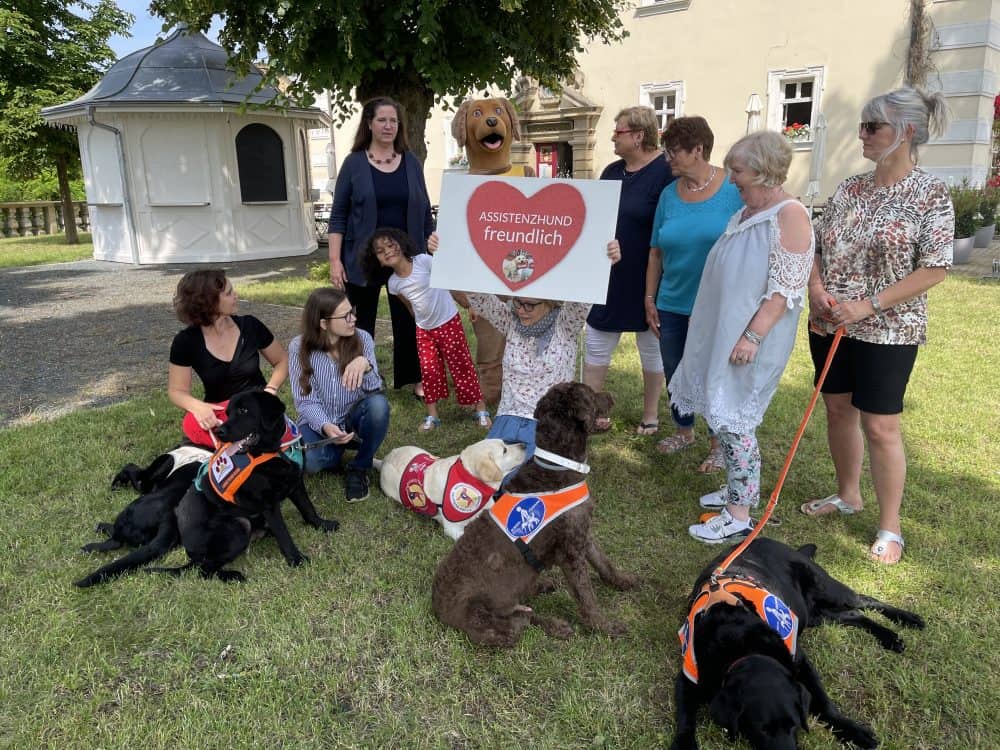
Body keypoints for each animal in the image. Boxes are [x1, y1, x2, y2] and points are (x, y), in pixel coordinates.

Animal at [76, 446, 213, 588]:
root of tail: (168, 515)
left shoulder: (147, 479)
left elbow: (130, 467)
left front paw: (118, 481)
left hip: (129, 512)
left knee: (116, 541)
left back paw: (96, 536)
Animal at [153, 390, 340, 584]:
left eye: (243, 411)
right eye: (227, 413)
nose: (218, 432)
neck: (275, 450)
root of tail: (191, 554)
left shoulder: (295, 482)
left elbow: (307, 508)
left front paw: (322, 524)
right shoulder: (268, 504)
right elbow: (283, 534)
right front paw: (296, 559)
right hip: (240, 526)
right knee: (205, 570)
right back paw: (233, 576)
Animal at [428, 382, 632, 648]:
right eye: (590, 394)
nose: (612, 396)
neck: (557, 466)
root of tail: (437, 608)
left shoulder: (582, 533)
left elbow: (603, 561)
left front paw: (622, 581)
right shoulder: (570, 552)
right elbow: (587, 597)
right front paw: (605, 627)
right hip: (493, 626)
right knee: (521, 619)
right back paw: (555, 624)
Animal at [668, 536, 924, 750]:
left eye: (794, 725)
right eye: (762, 730)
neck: (744, 645)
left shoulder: (801, 662)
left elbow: (824, 702)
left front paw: (851, 730)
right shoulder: (688, 676)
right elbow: (685, 718)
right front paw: (684, 744)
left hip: (828, 590)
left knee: (865, 600)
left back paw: (904, 623)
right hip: (815, 615)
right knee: (855, 616)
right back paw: (889, 635)